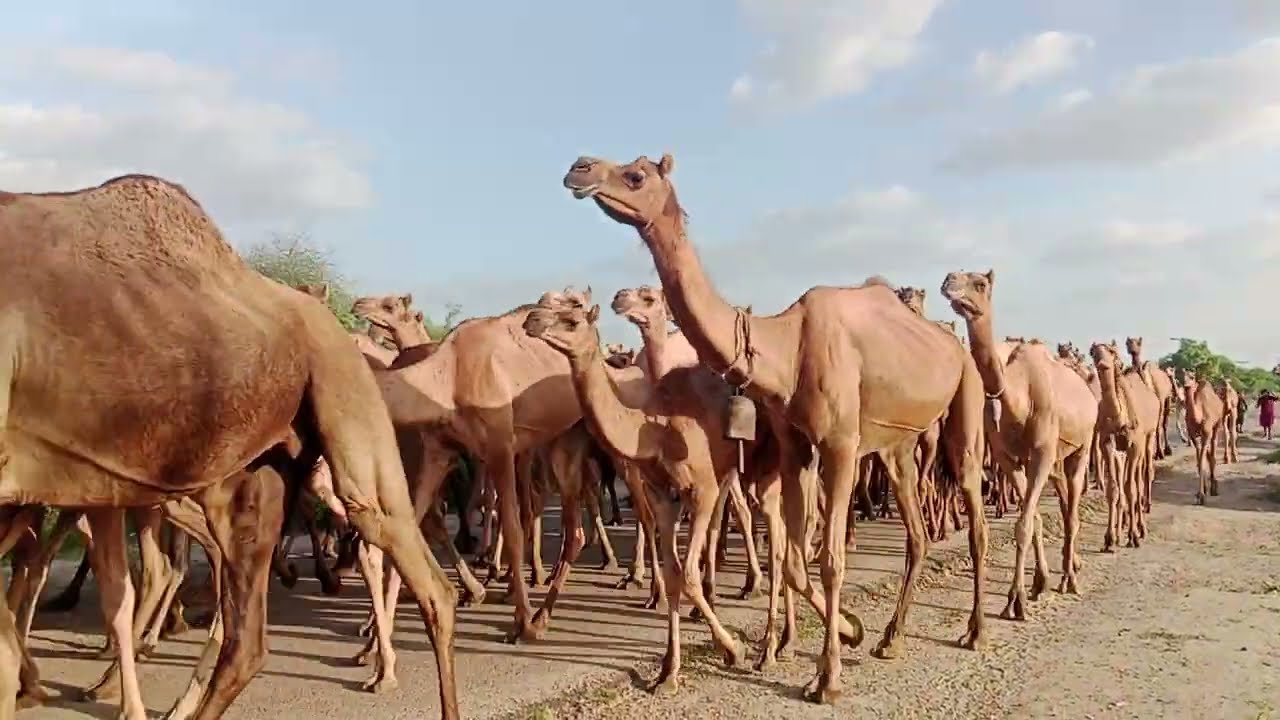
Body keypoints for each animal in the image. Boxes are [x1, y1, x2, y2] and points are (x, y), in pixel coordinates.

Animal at [0, 174, 459, 720]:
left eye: (391, 306)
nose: (364, 309)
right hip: (239, 475)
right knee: (243, 631)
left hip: (343, 407)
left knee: (417, 571)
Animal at [563, 153, 989, 704]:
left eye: (636, 175)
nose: (580, 168)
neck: (786, 347)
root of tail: (953, 344)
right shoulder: (795, 444)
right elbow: (793, 558)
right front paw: (850, 631)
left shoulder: (840, 445)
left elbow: (828, 559)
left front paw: (826, 677)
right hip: (899, 444)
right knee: (915, 533)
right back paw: (891, 638)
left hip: (966, 400)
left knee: (975, 515)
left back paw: (976, 630)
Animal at [942, 270, 1097, 617]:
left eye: (981, 284)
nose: (948, 282)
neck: (1017, 395)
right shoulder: (1008, 458)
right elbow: (1033, 520)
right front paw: (1037, 585)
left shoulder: (1040, 454)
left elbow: (1025, 524)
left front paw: (1016, 601)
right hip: (1057, 458)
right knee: (1064, 501)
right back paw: (1066, 570)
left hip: (1083, 445)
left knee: (1073, 506)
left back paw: (1070, 579)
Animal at [1090, 342, 1159, 550]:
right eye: (1093, 353)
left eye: (1112, 352)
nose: (1103, 364)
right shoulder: (1107, 444)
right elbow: (1114, 489)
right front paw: (1109, 539)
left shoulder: (1135, 445)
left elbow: (1131, 488)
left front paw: (1133, 536)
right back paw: (1123, 528)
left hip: (1148, 438)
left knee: (1141, 476)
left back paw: (1141, 528)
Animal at [1181, 370, 1225, 504]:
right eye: (1182, 376)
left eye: (1192, 377)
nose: (1186, 385)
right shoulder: (1193, 435)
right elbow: (1199, 460)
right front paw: (1201, 491)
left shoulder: (1206, 432)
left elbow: (1201, 461)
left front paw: (1201, 495)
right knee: (1208, 454)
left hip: (1217, 426)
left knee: (1213, 452)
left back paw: (1214, 488)